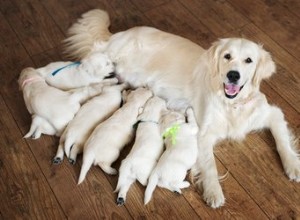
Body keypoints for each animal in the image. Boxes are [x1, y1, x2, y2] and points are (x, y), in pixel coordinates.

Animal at [63, 9, 300, 208]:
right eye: (227, 56)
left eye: (249, 60)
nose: (233, 75)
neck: (231, 104)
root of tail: (117, 35)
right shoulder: (203, 133)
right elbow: (210, 165)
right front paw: (214, 192)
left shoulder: (270, 113)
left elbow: (282, 139)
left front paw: (293, 165)